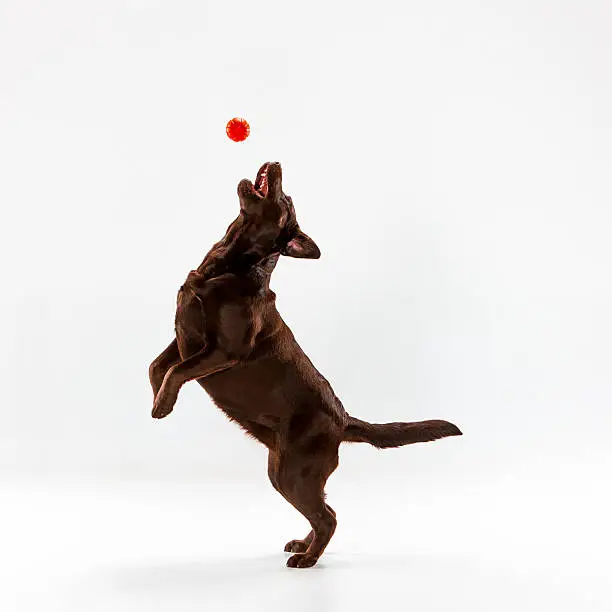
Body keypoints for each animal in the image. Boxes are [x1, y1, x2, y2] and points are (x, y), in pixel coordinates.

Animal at [151, 161, 462, 568]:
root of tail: (343, 420)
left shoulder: (225, 349)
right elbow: (158, 366)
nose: (276, 163)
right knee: (321, 511)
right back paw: (303, 545)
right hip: (282, 469)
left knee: (328, 516)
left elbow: (177, 370)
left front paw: (162, 406)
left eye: (286, 198)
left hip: (292, 472)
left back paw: (308, 559)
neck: (230, 263)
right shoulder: (183, 338)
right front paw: (157, 399)